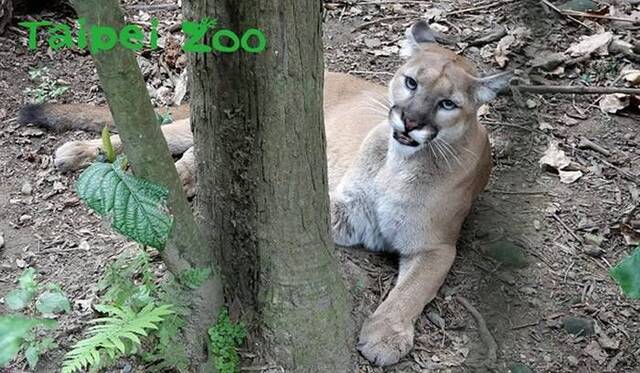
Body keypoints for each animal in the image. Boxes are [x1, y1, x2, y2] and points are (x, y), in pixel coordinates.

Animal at [17, 21, 512, 366]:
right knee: (157, 141)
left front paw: (386, 335)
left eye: (448, 103)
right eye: (411, 82)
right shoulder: (343, 206)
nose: (409, 121)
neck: (400, 163)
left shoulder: (434, 245)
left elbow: (412, 291)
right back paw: (78, 153)